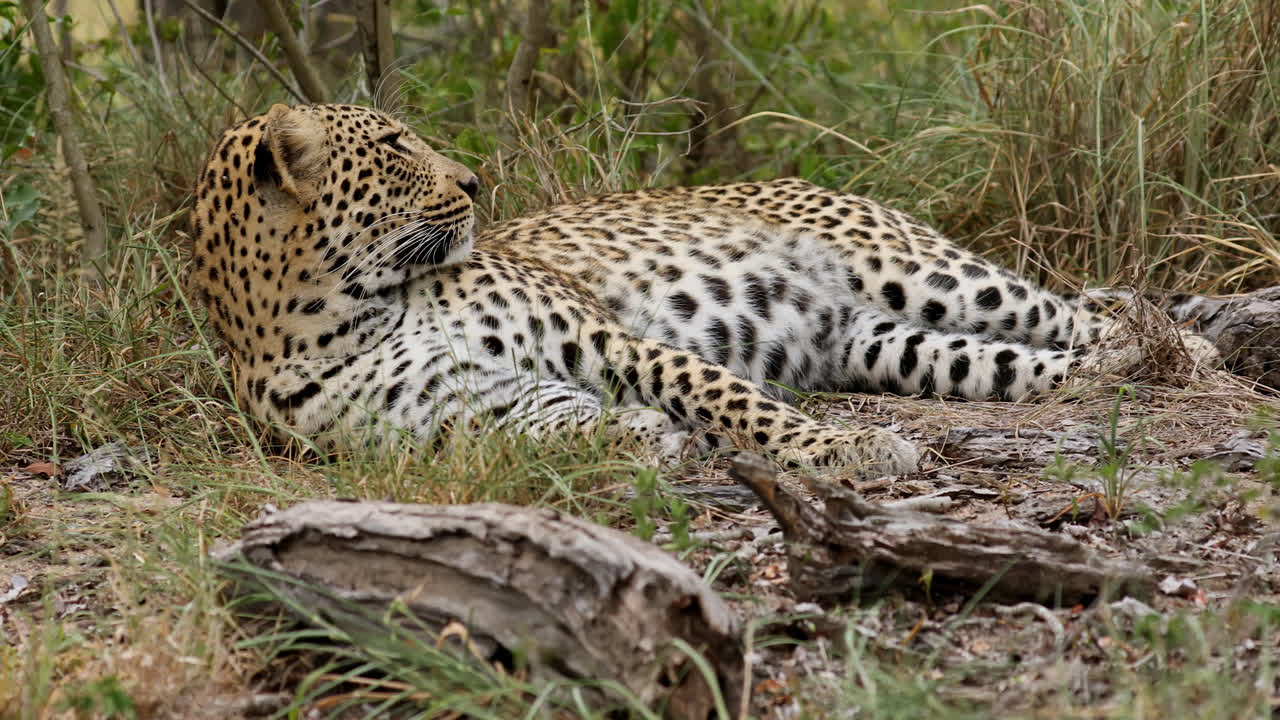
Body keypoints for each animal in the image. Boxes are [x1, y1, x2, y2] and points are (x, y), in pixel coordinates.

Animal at [189, 103, 1215, 477]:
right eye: (398, 150)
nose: (476, 182)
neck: (347, 312)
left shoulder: (606, 340)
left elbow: (729, 398)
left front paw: (839, 454)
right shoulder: (480, 411)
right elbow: (575, 428)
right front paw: (643, 439)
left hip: (919, 270)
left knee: (1067, 307)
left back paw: (1184, 347)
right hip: (889, 342)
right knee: (1024, 364)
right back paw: (1127, 364)